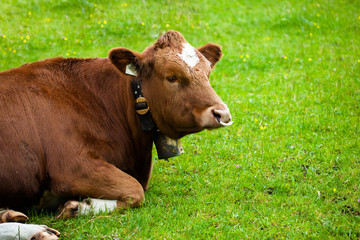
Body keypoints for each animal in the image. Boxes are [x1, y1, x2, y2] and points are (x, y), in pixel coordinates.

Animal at [0, 30, 232, 238]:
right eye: (172, 77)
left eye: (207, 74)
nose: (222, 114)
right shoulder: (69, 166)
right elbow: (135, 189)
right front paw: (79, 206)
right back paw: (37, 230)